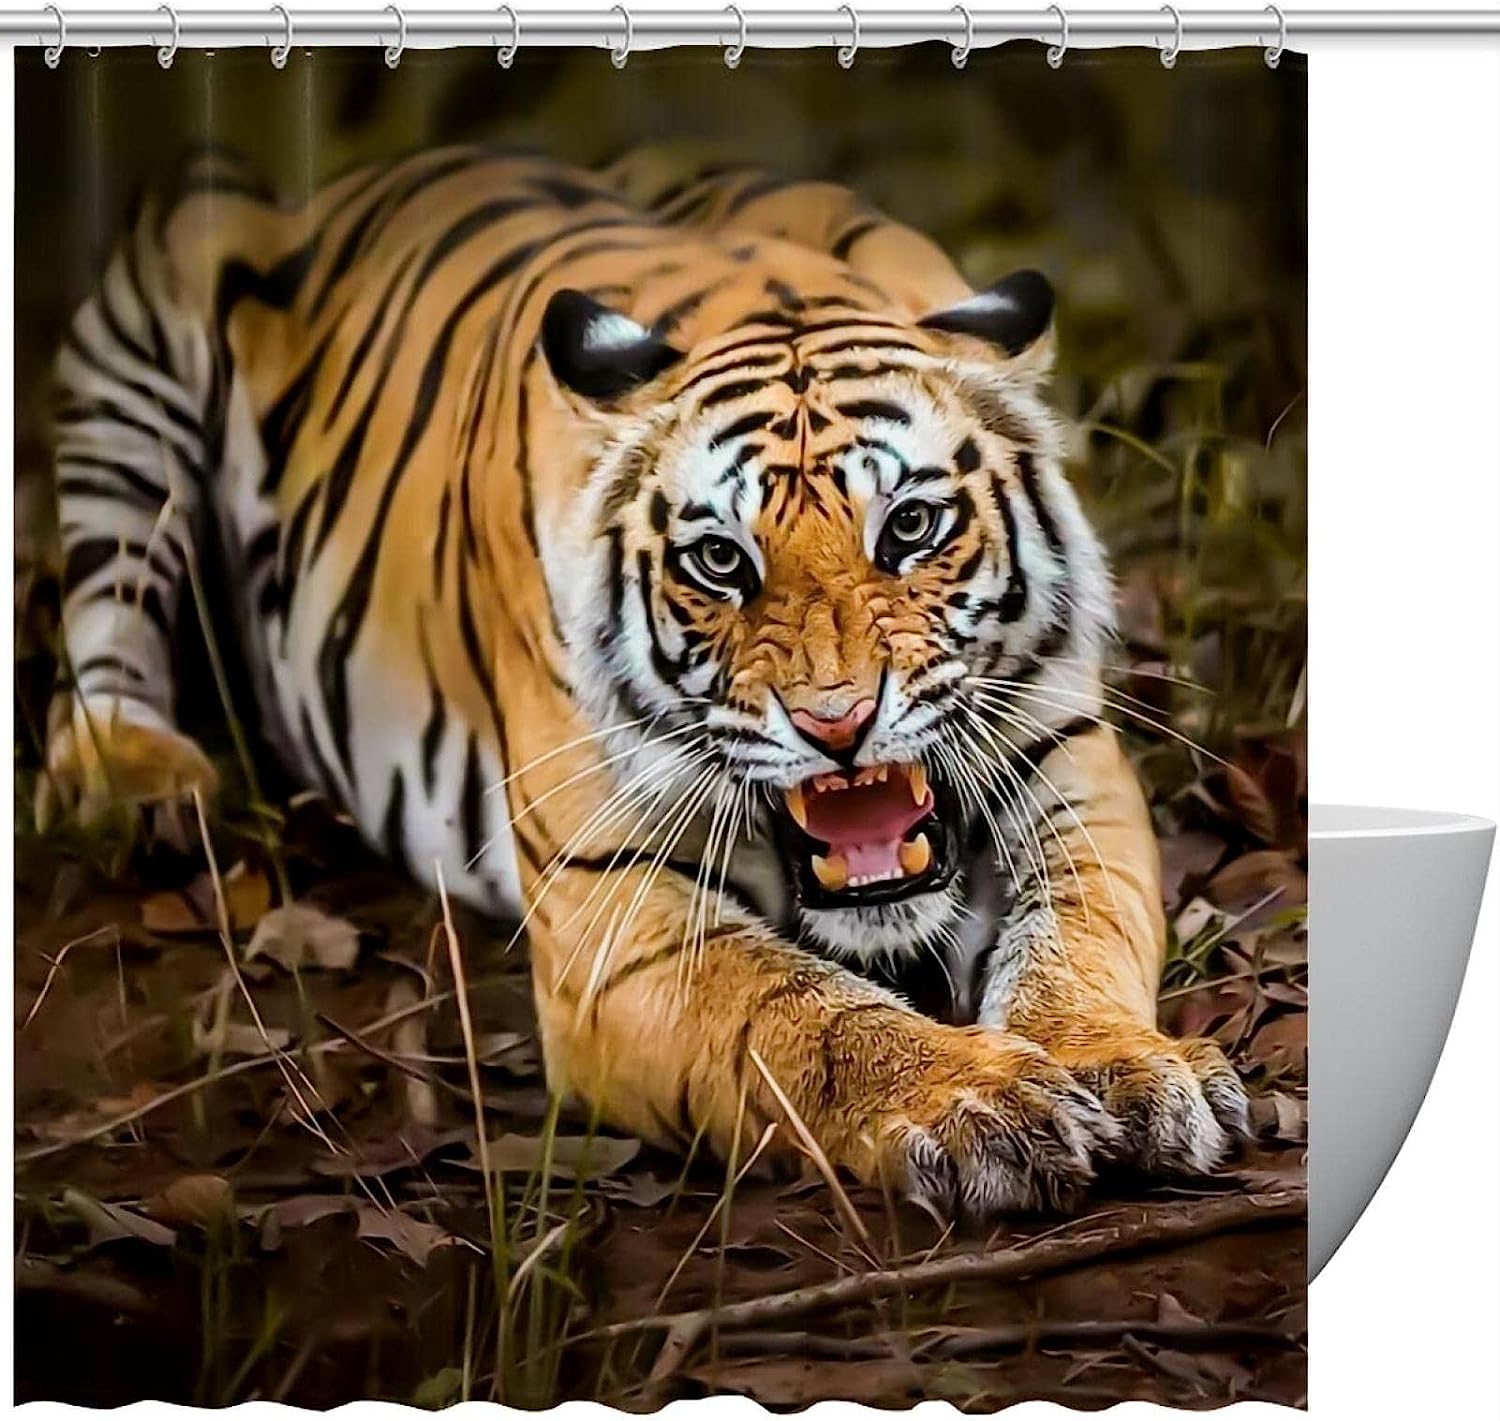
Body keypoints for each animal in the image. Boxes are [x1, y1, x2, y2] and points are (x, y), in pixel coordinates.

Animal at [40, 145, 1250, 1219]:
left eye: (909, 527)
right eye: (719, 559)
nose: (838, 725)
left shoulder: (1072, 755)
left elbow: (1080, 930)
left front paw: (1130, 1067)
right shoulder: (611, 903)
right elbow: (800, 1013)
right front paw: (980, 1103)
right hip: (150, 312)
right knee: (103, 609)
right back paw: (143, 779)